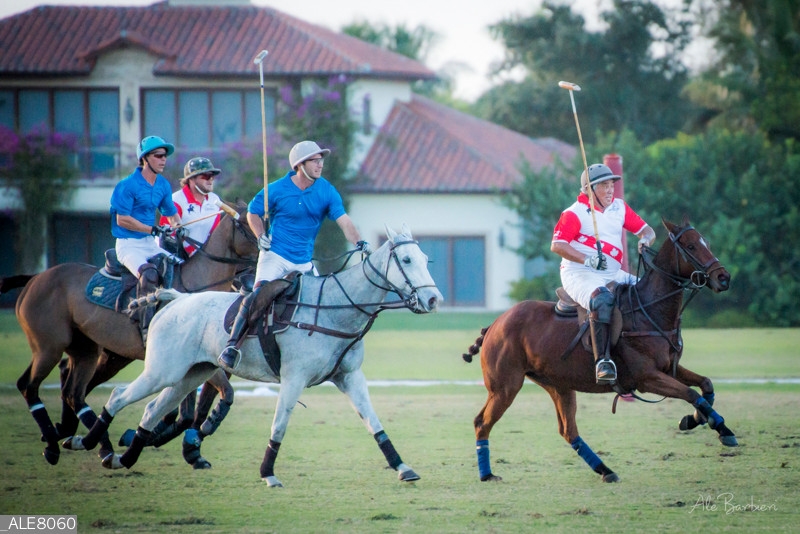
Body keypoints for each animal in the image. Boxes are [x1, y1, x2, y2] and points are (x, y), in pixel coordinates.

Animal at [5, 201, 258, 467]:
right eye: (247, 225)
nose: (251, 282)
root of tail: (35, 278)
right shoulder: (190, 357)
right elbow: (197, 406)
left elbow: (211, 400)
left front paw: (190, 444)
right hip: (50, 346)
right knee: (32, 385)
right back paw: (60, 444)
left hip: (96, 351)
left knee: (72, 385)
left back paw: (72, 434)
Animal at [80, 223, 443, 487]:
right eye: (406, 261)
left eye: (425, 259)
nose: (433, 300)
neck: (337, 308)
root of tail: (175, 298)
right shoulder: (294, 378)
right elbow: (279, 424)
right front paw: (268, 473)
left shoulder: (349, 376)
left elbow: (373, 422)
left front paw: (402, 467)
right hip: (162, 370)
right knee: (118, 396)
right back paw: (91, 445)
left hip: (191, 373)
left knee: (152, 410)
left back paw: (123, 458)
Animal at [462, 217, 735, 483]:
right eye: (690, 246)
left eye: (706, 242)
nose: (723, 278)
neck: (649, 311)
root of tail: (494, 324)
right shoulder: (647, 377)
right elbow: (691, 393)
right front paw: (720, 428)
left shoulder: (669, 368)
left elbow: (706, 386)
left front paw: (697, 420)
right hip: (505, 386)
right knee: (482, 422)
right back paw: (487, 474)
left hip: (558, 385)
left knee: (568, 430)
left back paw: (605, 470)